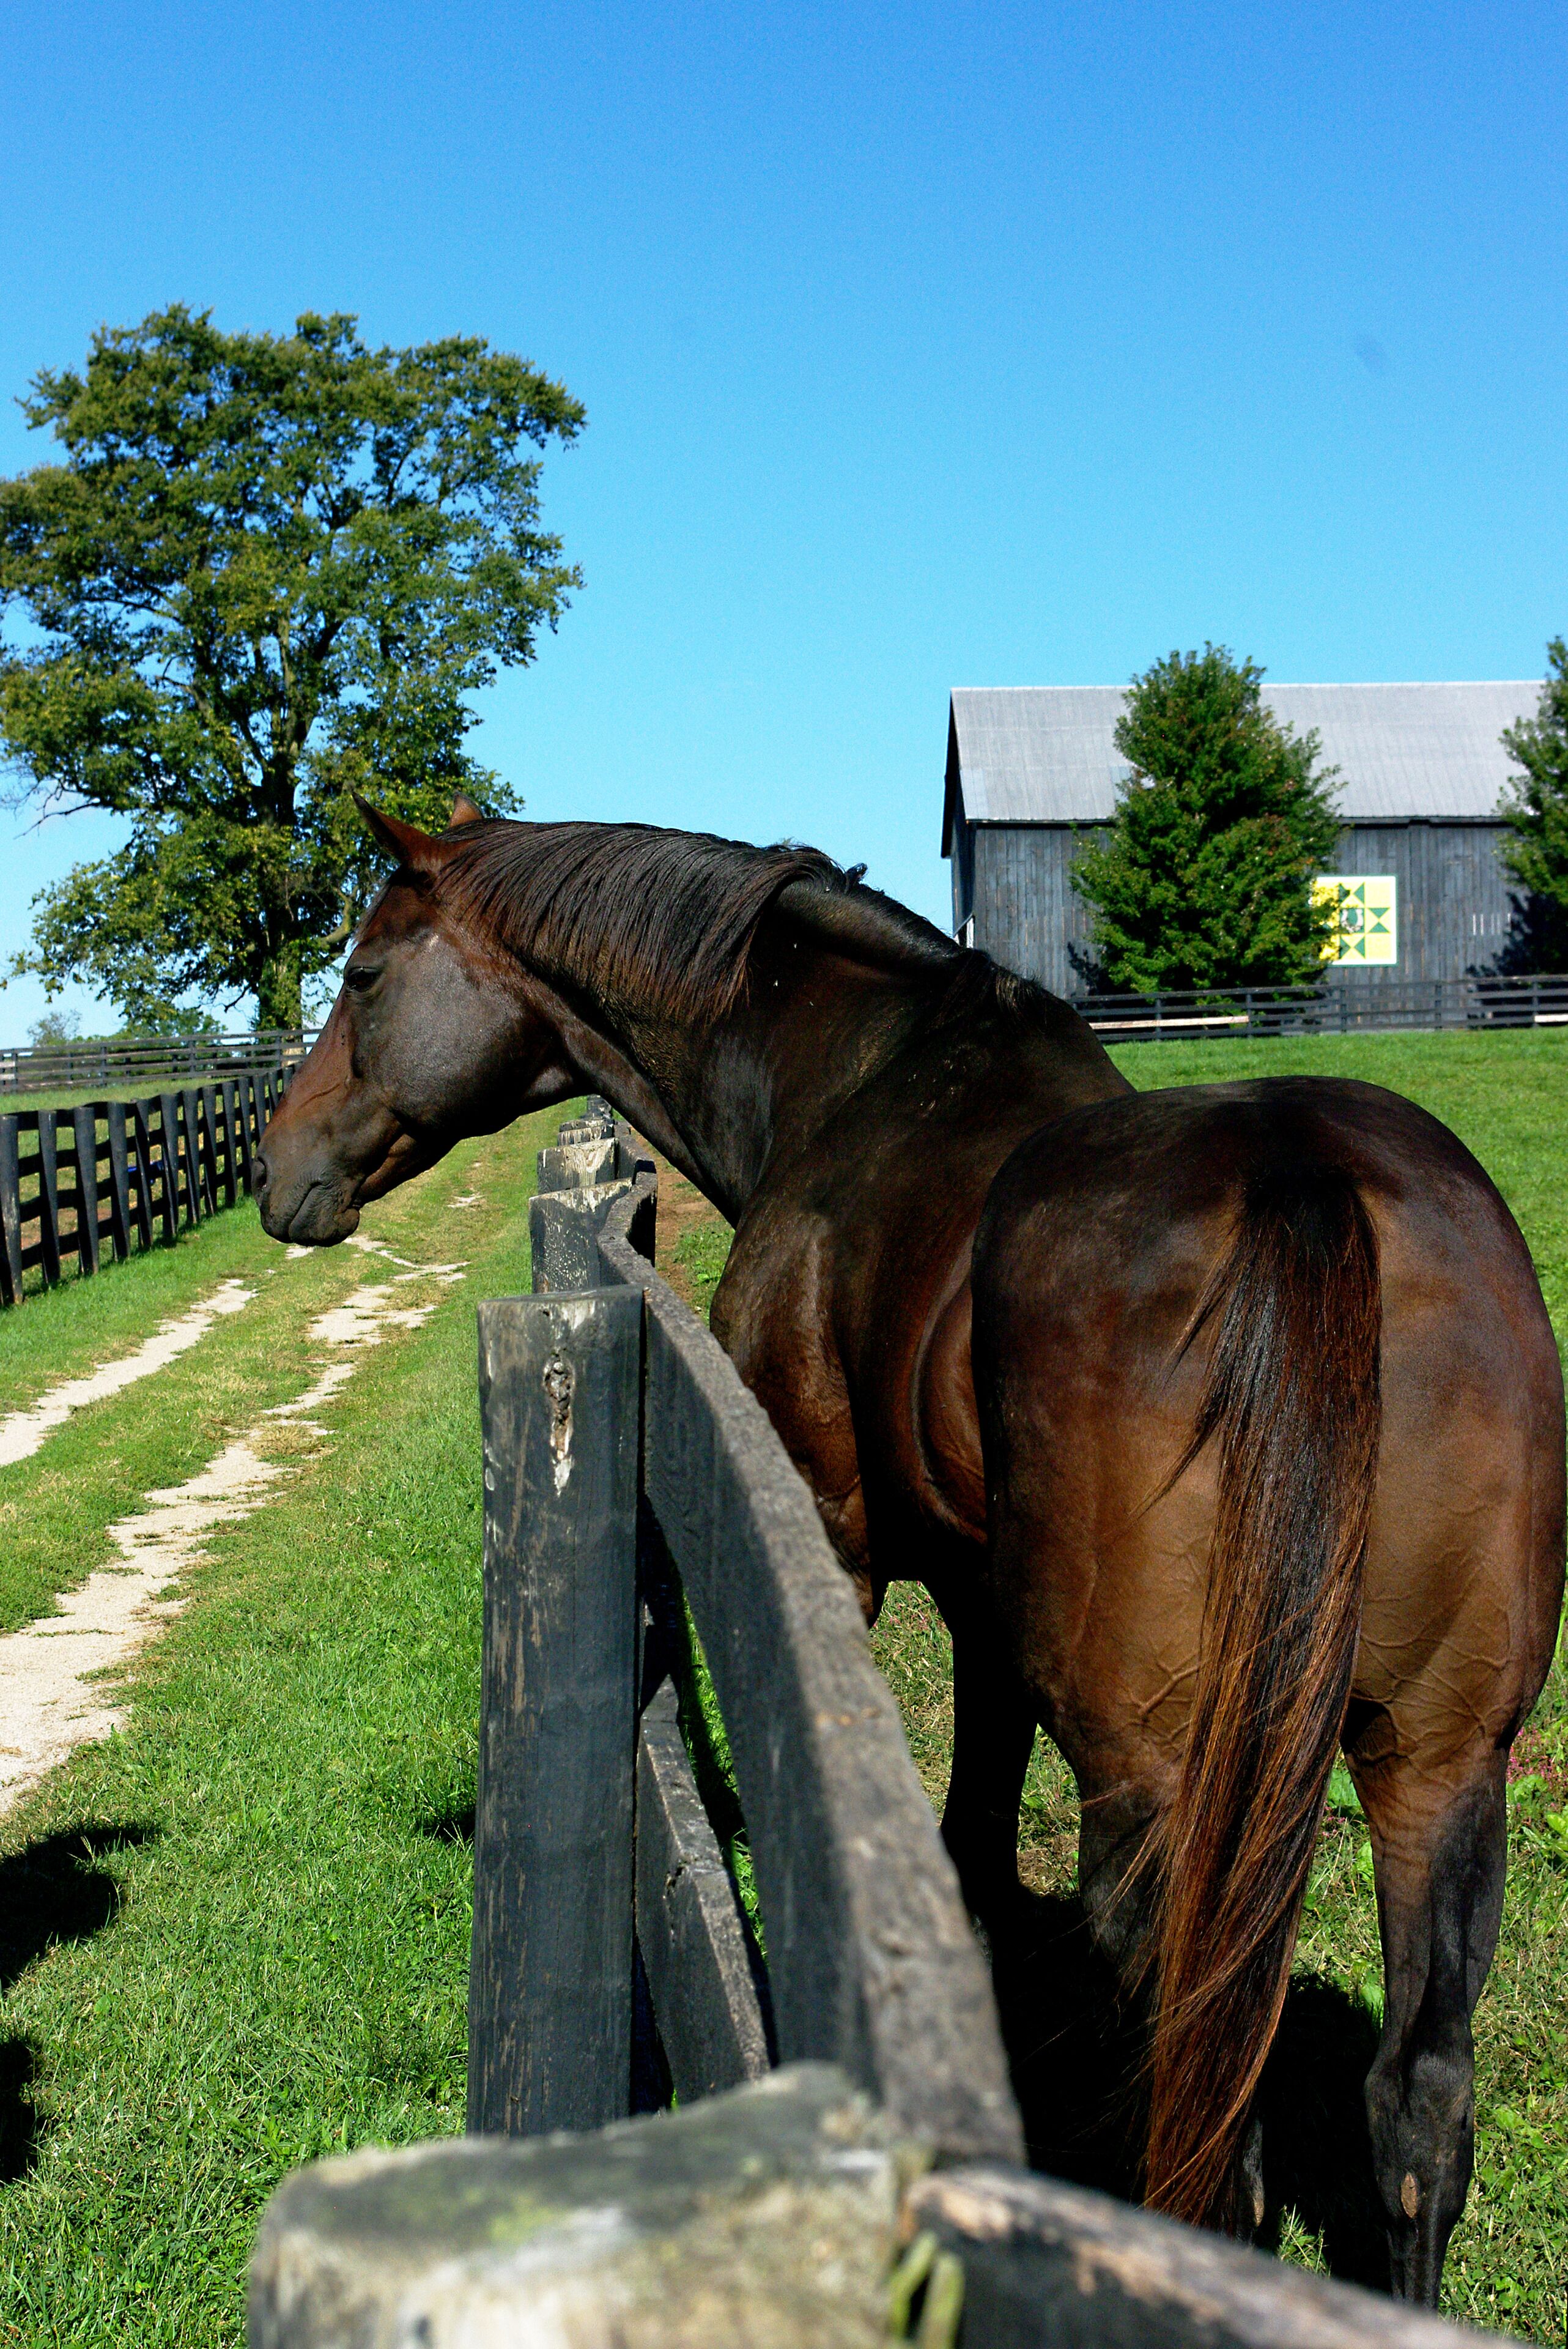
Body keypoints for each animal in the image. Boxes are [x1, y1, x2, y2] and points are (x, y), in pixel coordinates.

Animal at [255, 799, 1563, 2304]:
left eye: (362, 977)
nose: (276, 1171)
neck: (855, 1081)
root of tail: (1306, 1181)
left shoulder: (843, 1548)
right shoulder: (987, 1617)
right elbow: (972, 1838)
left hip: (1160, 1783)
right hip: (1440, 1764)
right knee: (1416, 2103)